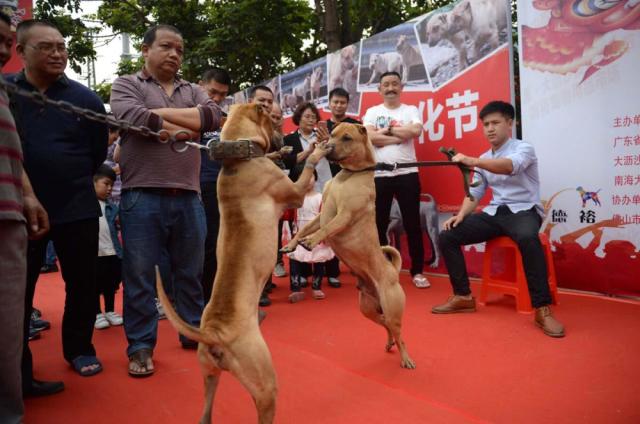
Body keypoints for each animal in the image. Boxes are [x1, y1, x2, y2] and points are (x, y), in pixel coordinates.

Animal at [155, 103, 330, 424]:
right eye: (272, 118)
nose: (283, 135)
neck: (238, 156)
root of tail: (211, 333)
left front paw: (284, 150)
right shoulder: (295, 194)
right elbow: (309, 165)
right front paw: (316, 148)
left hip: (209, 376)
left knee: (205, 415)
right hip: (264, 385)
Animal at [280, 121, 416, 368]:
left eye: (347, 138)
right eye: (332, 134)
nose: (327, 145)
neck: (349, 175)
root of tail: (392, 271)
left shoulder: (343, 215)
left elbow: (326, 229)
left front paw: (311, 241)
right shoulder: (322, 214)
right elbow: (304, 227)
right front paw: (292, 244)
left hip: (392, 308)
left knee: (399, 331)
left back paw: (405, 358)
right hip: (367, 309)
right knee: (386, 324)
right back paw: (389, 343)